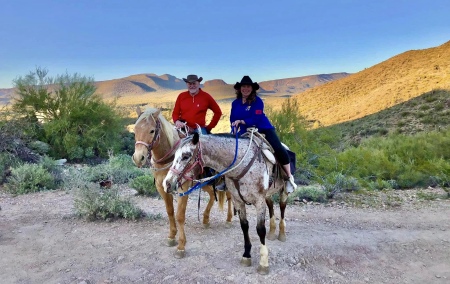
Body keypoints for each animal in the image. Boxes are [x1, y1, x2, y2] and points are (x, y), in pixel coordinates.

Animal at [131, 107, 232, 258]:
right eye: (135, 130)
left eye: (152, 131)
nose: (139, 158)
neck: (168, 159)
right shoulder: (162, 187)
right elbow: (170, 211)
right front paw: (171, 237)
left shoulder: (182, 188)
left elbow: (179, 215)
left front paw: (181, 246)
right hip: (204, 183)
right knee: (212, 195)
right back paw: (205, 219)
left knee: (230, 198)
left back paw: (229, 219)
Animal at [163, 132, 290, 274]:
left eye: (185, 156)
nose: (167, 184)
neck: (242, 166)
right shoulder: (238, 200)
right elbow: (244, 226)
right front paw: (246, 255)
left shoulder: (259, 201)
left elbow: (260, 229)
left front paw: (263, 263)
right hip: (268, 194)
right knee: (271, 206)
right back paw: (272, 232)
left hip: (283, 191)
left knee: (282, 207)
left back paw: (282, 233)